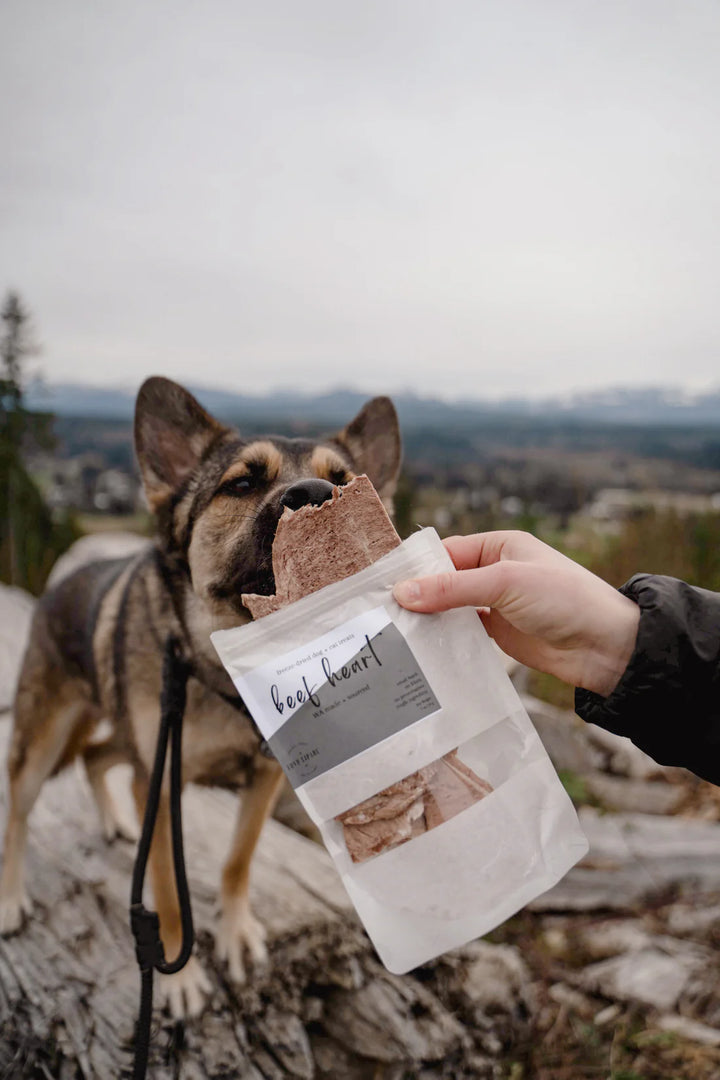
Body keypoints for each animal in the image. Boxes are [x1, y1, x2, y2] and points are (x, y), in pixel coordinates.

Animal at [0, 375, 403, 1015]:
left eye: (344, 481)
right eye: (241, 484)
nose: (318, 496)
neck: (234, 668)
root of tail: (58, 583)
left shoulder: (262, 778)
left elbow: (238, 862)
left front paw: (235, 934)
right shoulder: (164, 785)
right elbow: (167, 890)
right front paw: (178, 978)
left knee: (96, 757)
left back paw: (117, 822)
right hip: (43, 738)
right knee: (19, 811)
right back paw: (12, 899)